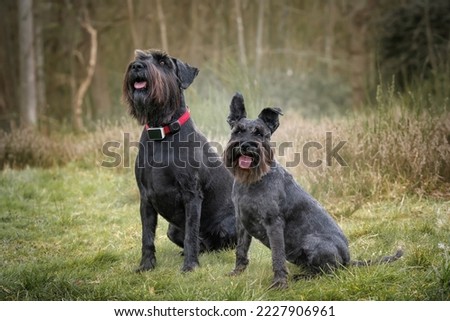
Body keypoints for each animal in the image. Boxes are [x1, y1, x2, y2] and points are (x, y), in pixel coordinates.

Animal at [122, 48, 236, 272]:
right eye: (140, 57)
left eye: (163, 62)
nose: (137, 66)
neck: (162, 130)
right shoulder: (145, 198)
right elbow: (147, 236)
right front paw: (146, 265)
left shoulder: (191, 194)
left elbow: (191, 233)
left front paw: (190, 266)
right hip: (172, 230)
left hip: (226, 225)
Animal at [223, 92, 402, 288]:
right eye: (238, 131)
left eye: (260, 134)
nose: (246, 146)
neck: (252, 180)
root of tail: (348, 260)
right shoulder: (242, 222)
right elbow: (241, 249)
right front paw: (236, 273)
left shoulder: (274, 223)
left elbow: (277, 255)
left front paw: (279, 283)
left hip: (313, 243)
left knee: (328, 271)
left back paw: (302, 277)